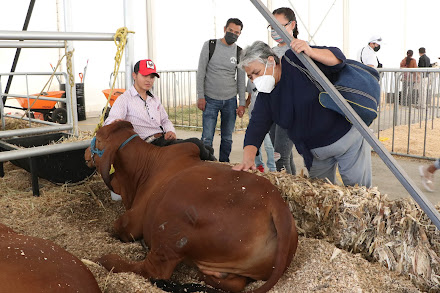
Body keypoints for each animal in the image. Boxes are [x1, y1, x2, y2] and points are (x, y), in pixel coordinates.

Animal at [85, 120, 300, 290]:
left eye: (98, 135)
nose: (86, 152)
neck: (145, 167)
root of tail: (276, 205)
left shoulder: (132, 222)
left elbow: (118, 227)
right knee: (234, 283)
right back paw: (199, 273)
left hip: (169, 228)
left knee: (153, 270)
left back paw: (105, 259)